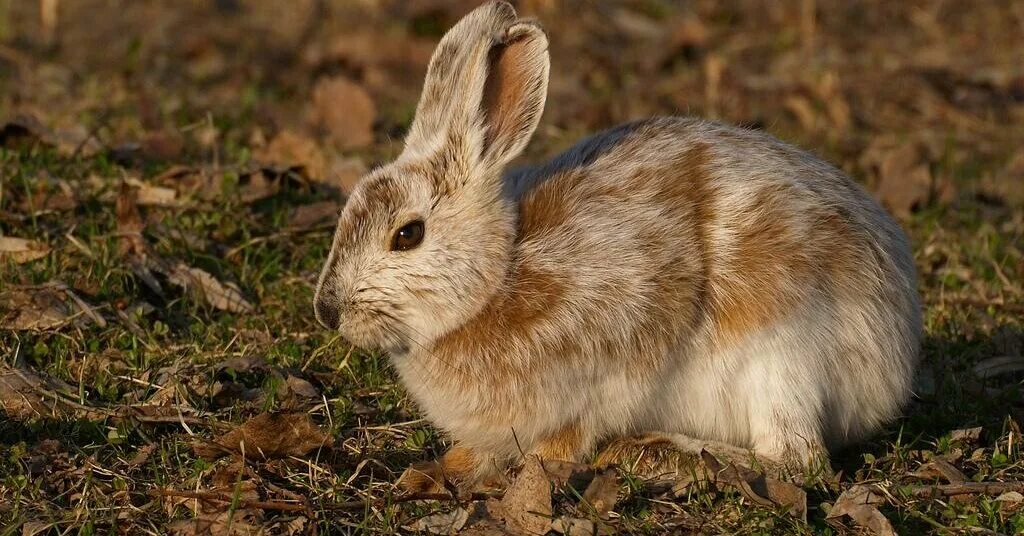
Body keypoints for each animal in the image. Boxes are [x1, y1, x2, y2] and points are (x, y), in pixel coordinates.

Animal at [311, 0, 921, 489]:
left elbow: (579, 422)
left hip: (780, 353)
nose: (327, 311)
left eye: (407, 235)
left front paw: (542, 462)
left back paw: (652, 453)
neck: (498, 277)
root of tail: (897, 348)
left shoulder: (623, 333)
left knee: (796, 460)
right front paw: (447, 466)